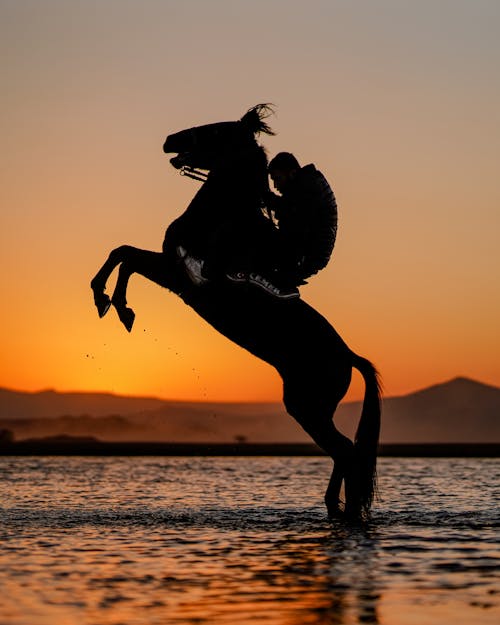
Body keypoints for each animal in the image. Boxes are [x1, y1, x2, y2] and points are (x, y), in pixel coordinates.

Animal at [90, 105, 380, 520]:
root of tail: (348, 356)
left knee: (347, 452)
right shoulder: (170, 270)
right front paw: (113, 304)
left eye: (216, 130)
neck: (221, 216)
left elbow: (125, 256)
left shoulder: (181, 274)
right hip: (315, 410)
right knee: (345, 454)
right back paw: (336, 510)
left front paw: (114, 304)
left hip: (307, 407)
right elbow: (123, 253)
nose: (170, 141)